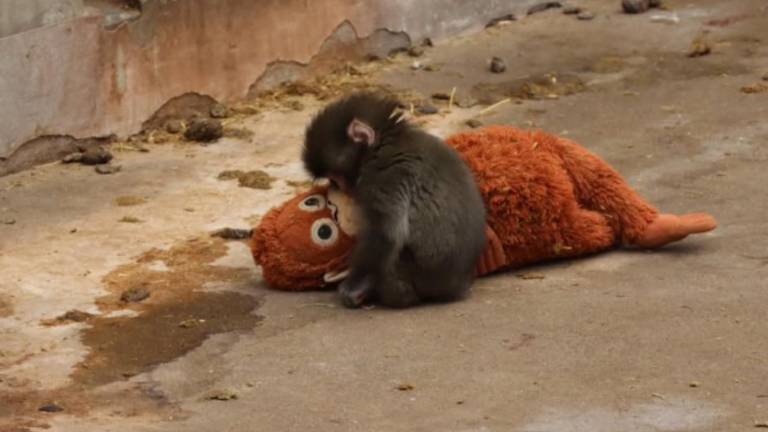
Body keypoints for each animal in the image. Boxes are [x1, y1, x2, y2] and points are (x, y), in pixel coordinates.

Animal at [302, 92, 487, 309]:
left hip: (401, 281)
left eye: (335, 179)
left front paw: (355, 285)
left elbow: (386, 234)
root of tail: (455, 287)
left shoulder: (386, 175)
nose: (336, 188)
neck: (384, 144)